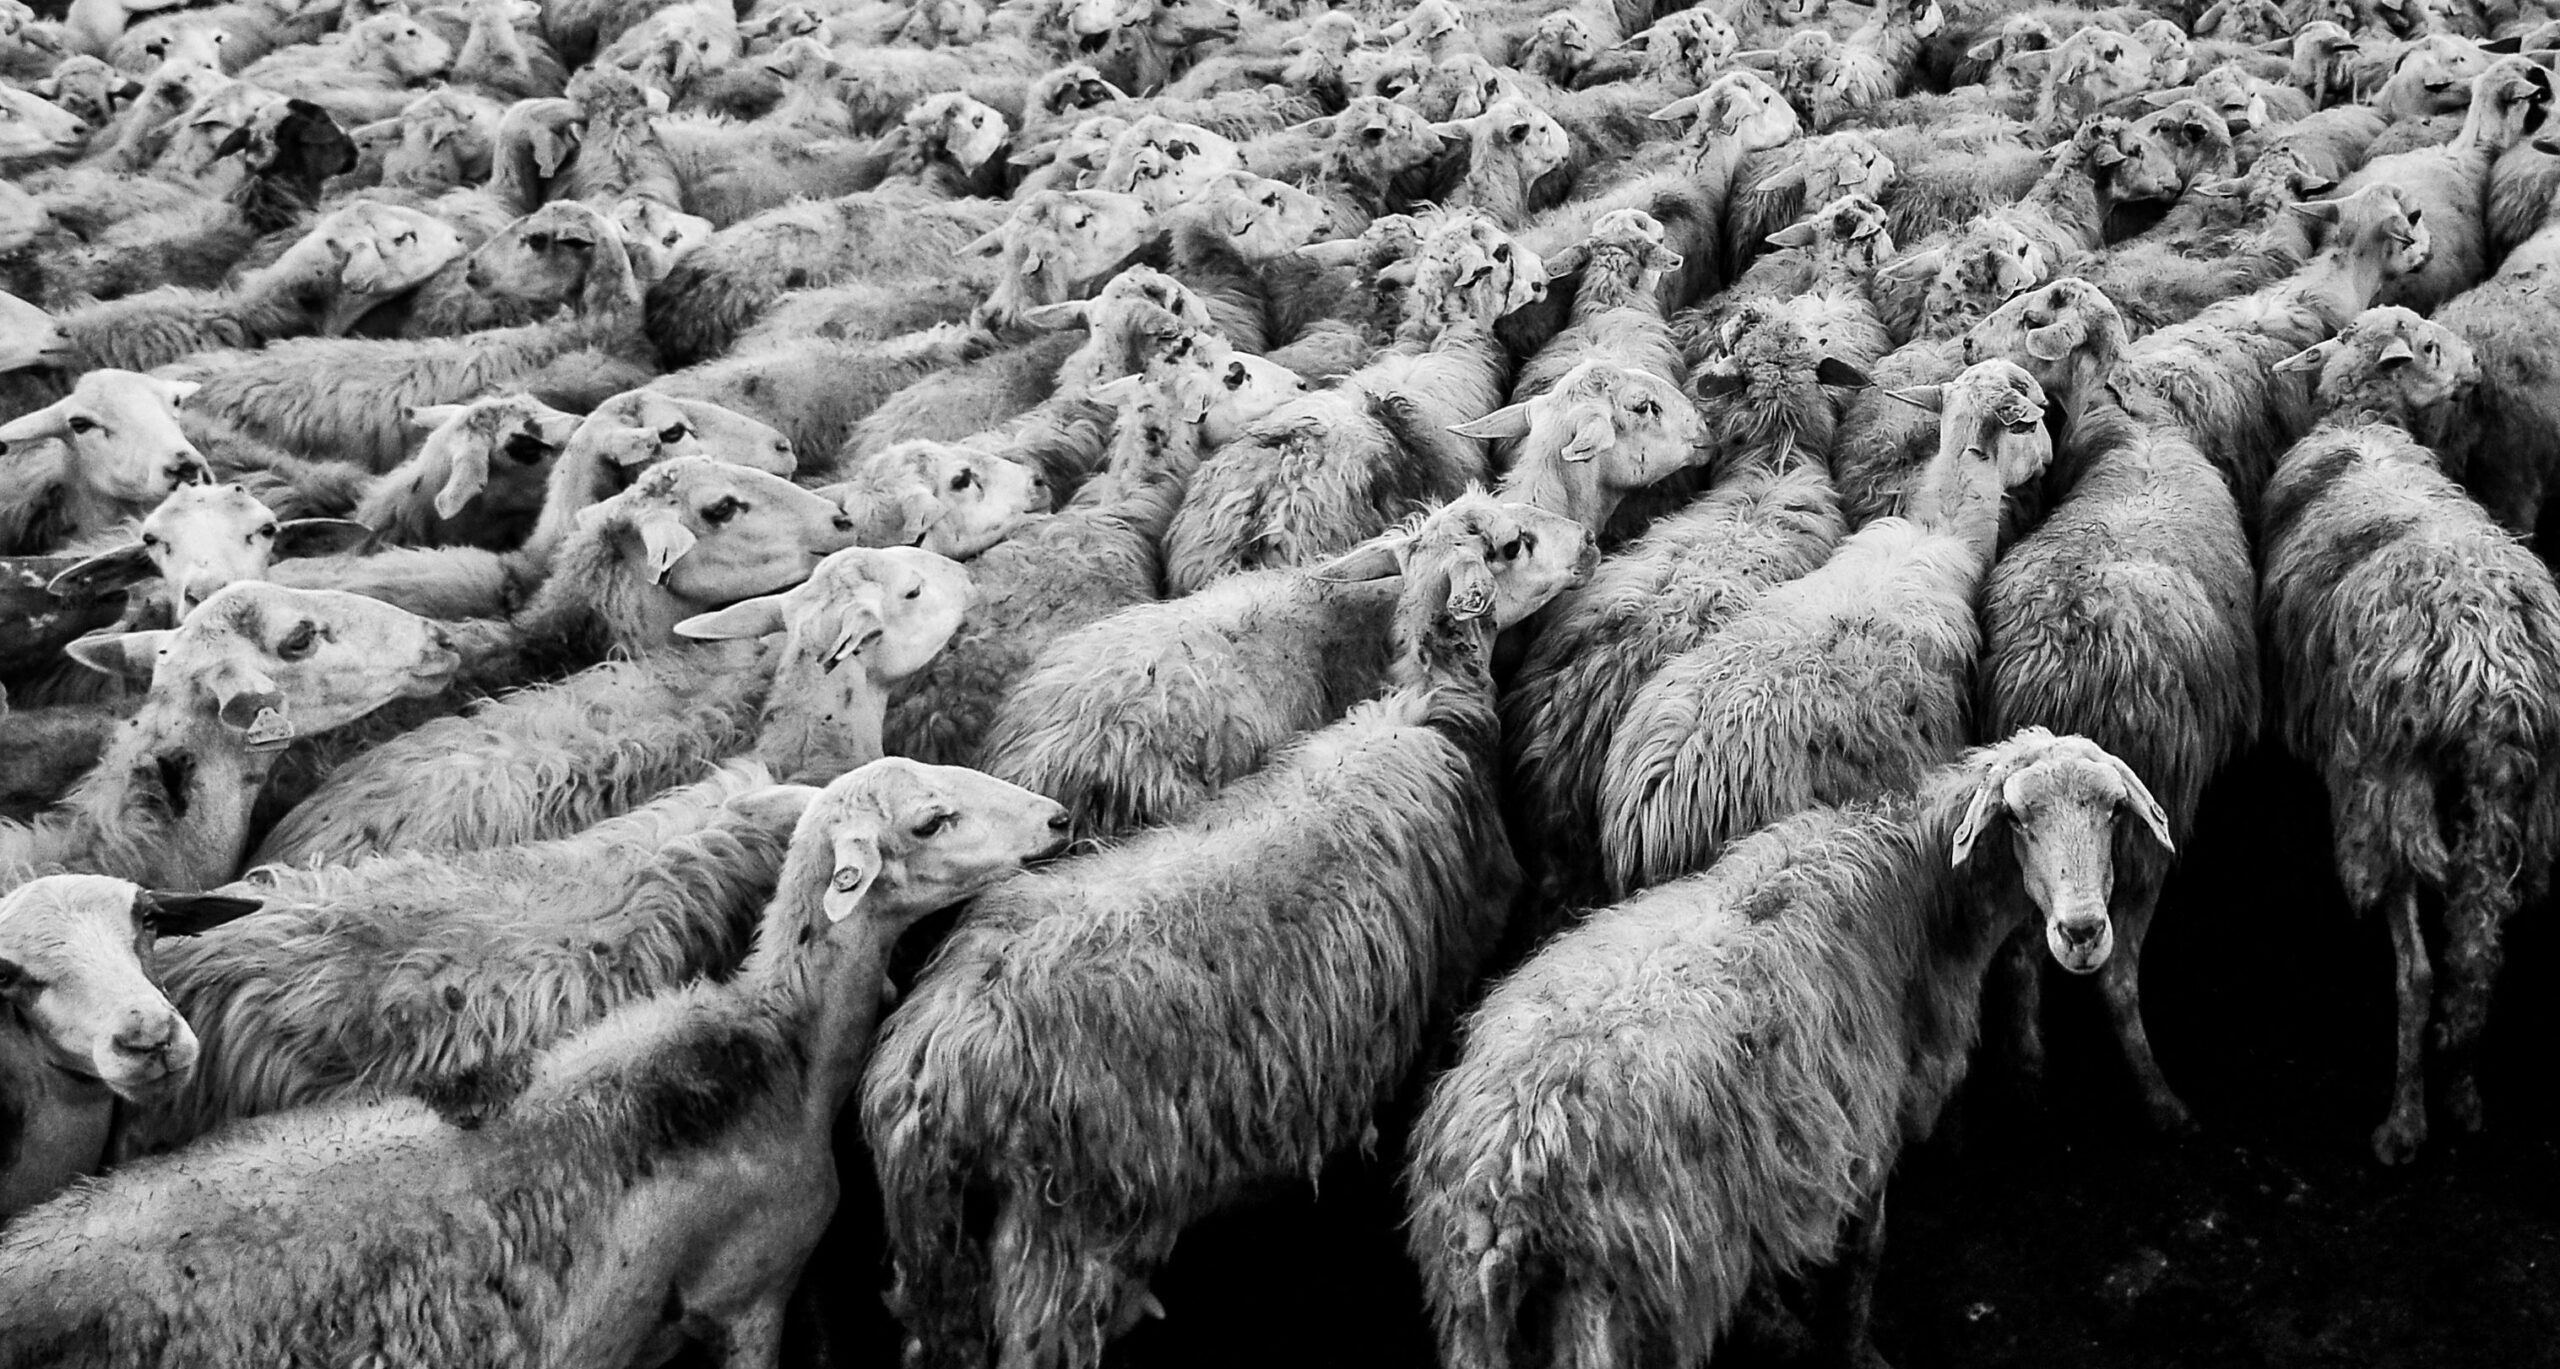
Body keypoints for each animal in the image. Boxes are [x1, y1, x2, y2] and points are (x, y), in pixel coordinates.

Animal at [866, 495, 1592, 1369]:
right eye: (1515, 544)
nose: (1591, 542)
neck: (1426, 708)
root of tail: (929, 1061)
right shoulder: (1454, 966)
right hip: (1063, 1227)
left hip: (936, 1252)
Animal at [1405, 729, 2175, 1369]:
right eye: (2016, 818)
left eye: (2112, 811)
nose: (2083, 932)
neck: (1918, 898)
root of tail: (1503, 1182)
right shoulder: (1865, 1131)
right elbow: (1864, 1257)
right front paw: (1856, 1349)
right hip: (1621, 1310)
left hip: (1478, 1324)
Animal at [1962, 276, 2260, 1132]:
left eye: (2032, 315)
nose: (1968, 344)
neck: (2127, 419)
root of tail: (2070, 668)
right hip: (2150, 816)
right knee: (2115, 973)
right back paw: (2161, 1099)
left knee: (2039, 953)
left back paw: (2036, 1073)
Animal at [2261, 308, 2560, 1163]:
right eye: (2427, 346)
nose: (2479, 370)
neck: (2362, 425)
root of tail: (2489, 673)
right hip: (2531, 798)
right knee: (2479, 948)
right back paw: (2461, 1093)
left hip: (2381, 789)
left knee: (2420, 971)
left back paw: (2403, 1122)